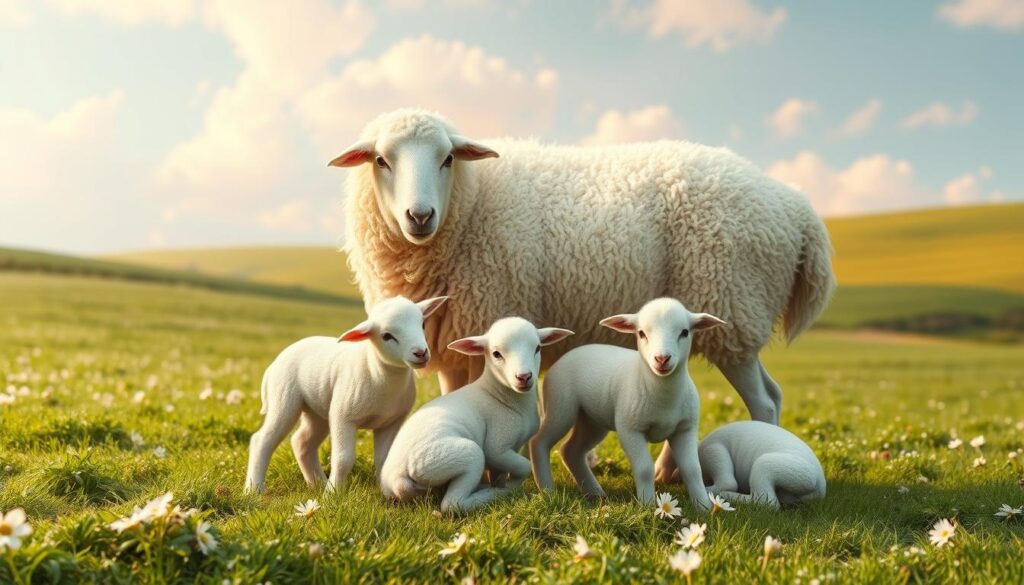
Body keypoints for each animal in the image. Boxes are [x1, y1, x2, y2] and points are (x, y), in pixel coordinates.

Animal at [243, 295, 448, 494]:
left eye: (422, 324)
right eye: (387, 336)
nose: (421, 353)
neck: (377, 373)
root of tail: (274, 363)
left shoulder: (390, 422)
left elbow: (384, 459)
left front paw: (387, 493)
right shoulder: (343, 416)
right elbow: (343, 459)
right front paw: (332, 494)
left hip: (317, 412)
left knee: (302, 442)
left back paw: (317, 483)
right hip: (284, 400)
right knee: (262, 440)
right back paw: (254, 488)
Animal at [330, 109, 835, 481]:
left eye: (448, 158)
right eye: (381, 161)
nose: (420, 216)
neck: (469, 204)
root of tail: (796, 205)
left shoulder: (487, 307)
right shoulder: (454, 336)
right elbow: (457, 401)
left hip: (733, 304)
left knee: (763, 400)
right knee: (767, 392)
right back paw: (669, 470)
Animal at [379, 317, 573, 513]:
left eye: (537, 348)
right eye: (496, 354)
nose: (524, 377)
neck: (499, 394)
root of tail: (397, 479)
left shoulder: (509, 451)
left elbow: (501, 472)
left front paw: (501, 483)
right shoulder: (497, 447)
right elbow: (523, 466)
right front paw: (510, 487)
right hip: (457, 457)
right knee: (453, 503)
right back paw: (493, 494)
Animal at [531, 298, 722, 509]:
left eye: (685, 332)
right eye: (641, 333)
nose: (662, 359)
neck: (663, 395)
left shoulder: (685, 428)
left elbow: (692, 469)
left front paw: (703, 506)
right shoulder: (629, 429)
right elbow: (645, 468)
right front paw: (647, 505)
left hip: (591, 421)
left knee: (571, 450)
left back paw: (594, 492)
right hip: (560, 406)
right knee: (539, 442)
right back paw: (548, 490)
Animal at [696, 420, 826, 509]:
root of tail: (819, 485)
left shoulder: (712, 449)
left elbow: (726, 479)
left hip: (770, 466)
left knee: (767, 502)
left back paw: (725, 495)